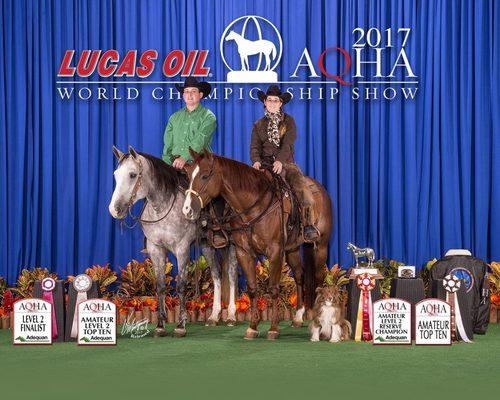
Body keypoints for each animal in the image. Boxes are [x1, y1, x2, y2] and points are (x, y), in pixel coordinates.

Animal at [107, 145, 238, 336]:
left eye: (132, 174)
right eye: (115, 175)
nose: (115, 209)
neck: (163, 207)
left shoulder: (182, 248)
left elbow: (181, 285)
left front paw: (181, 325)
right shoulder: (155, 249)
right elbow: (160, 286)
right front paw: (160, 326)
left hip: (233, 244)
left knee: (231, 273)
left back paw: (231, 316)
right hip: (207, 245)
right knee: (216, 275)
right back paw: (214, 316)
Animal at [183, 148, 332, 340]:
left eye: (205, 175)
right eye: (188, 174)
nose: (187, 209)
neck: (253, 208)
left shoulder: (275, 251)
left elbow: (273, 289)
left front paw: (274, 328)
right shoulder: (243, 252)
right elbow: (253, 289)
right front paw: (252, 327)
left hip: (321, 246)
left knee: (319, 278)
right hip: (292, 250)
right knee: (299, 275)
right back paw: (298, 317)